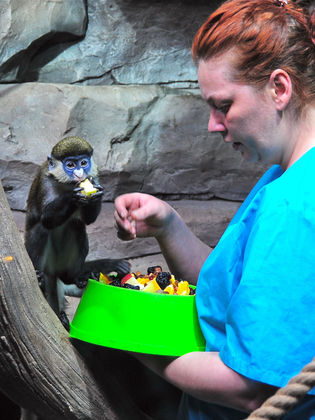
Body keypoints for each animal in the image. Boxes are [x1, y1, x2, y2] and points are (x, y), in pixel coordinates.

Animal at [24, 136, 104, 330]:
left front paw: (95, 194)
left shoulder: (94, 175)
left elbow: (87, 221)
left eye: (83, 162)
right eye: (70, 164)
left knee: (76, 225)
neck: (66, 184)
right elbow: (46, 219)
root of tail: (52, 271)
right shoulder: (45, 180)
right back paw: (40, 281)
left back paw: (74, 277)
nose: (80, 174)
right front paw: (73, 198)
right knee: (41, 228)